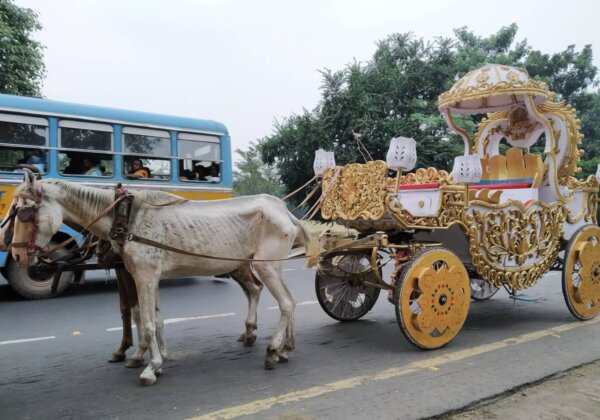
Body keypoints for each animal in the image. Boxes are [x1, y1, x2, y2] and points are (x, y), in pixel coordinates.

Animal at [9, 172, 318, 386]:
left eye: (24, 213)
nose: (17, 255)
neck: (128, 219)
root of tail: (283, 210)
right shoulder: (147, 275)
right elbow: (155, 319)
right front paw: (158, 360)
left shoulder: (144, 276)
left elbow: (145, 322)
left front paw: (149, 366)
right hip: (270, 267)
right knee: (287, 300)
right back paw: (285, 348)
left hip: (264, 267)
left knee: (285, 303)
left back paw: (273, 350)